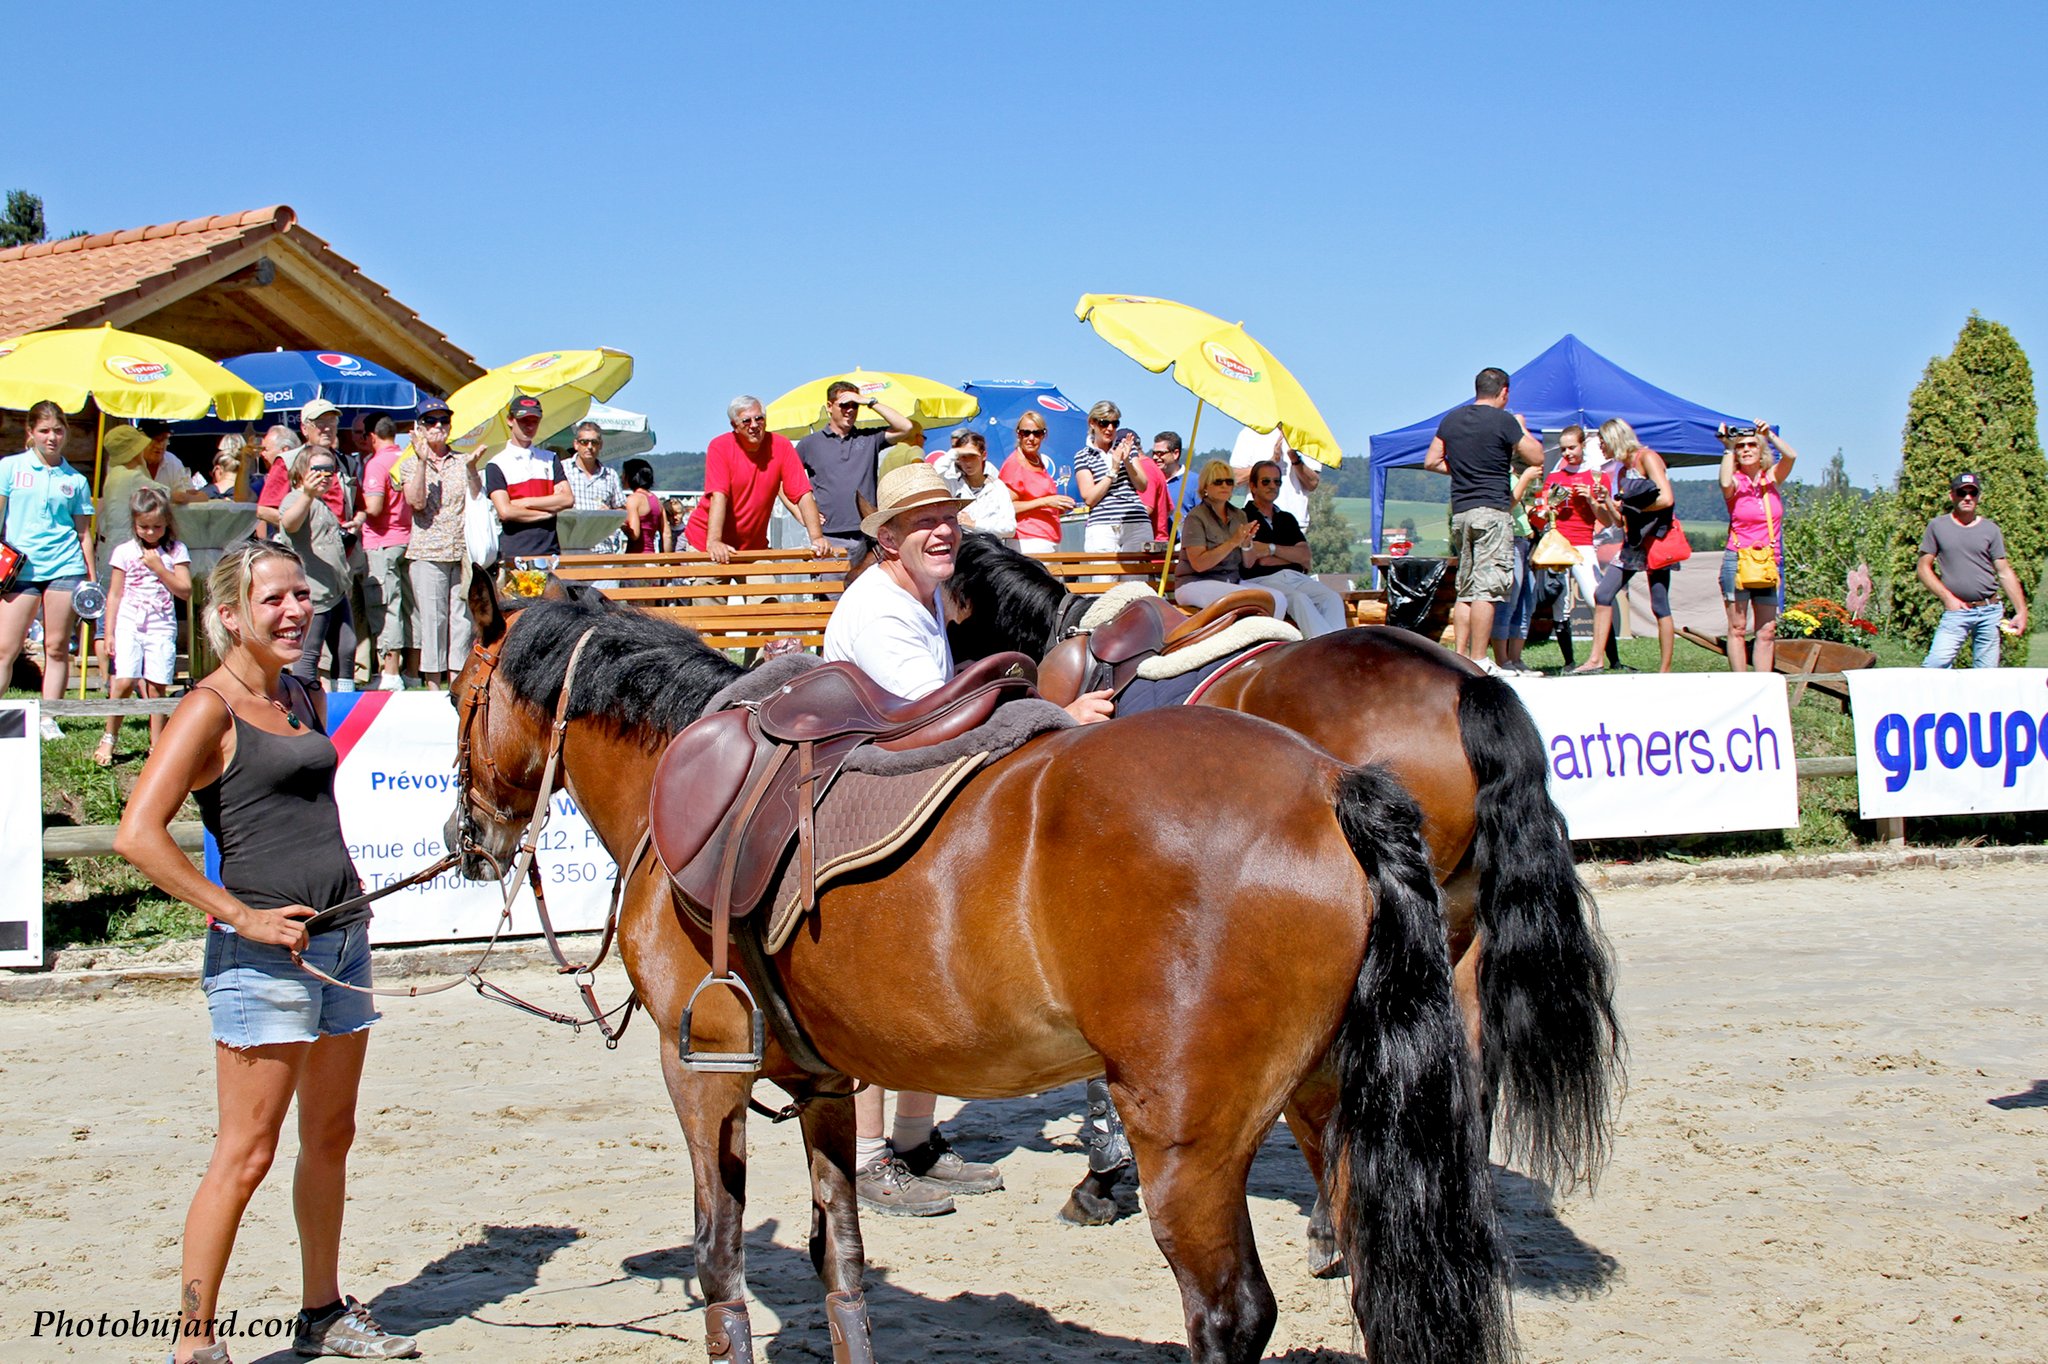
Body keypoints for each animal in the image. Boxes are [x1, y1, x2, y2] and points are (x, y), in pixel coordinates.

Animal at [447, 579, 1514, 1364]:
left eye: (461, 697)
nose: (471, 837)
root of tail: (1332, 785)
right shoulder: (822, 1084)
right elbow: (840, 1257)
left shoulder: (700, 1074)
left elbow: (720, 1262)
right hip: (1335, 1102)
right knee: (1374, 1275)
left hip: (1190, 1145)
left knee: (1230, 1314)